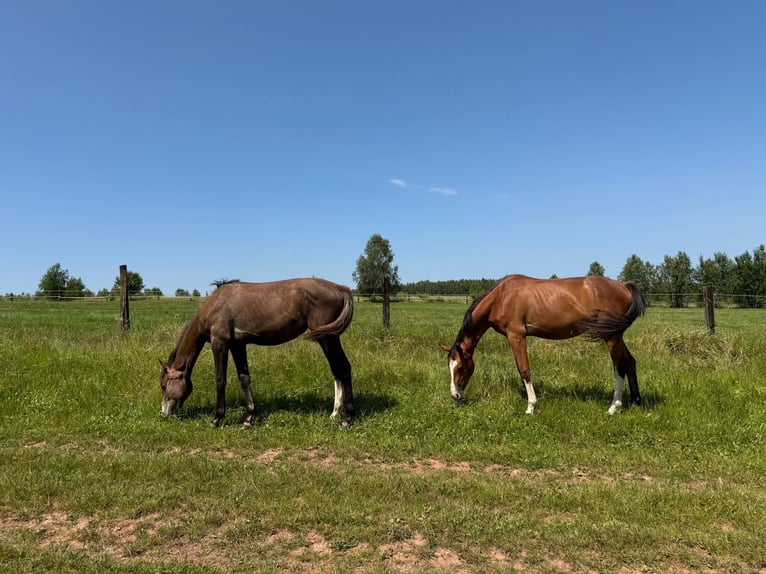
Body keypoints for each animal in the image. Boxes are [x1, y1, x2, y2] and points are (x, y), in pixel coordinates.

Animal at [159, 278, 355, 428]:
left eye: (163, 386)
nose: (164, 414)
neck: (215, 304)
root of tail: (339, 288)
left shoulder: (219, 343)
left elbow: (220, 380)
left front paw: (217, 419)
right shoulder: (237, 345)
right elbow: (244, 378)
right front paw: (248, 418)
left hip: (327, 338)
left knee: (343, 368)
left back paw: (347, 418)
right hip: (327, 338)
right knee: (337, 370)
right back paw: (335, 413)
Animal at [440, 274, 645, 415]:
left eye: (460, 368)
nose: (455, 396)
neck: (501, 297)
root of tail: (623, 286)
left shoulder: (516, 335)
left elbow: (524, 369)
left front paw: (531, 406)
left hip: (612, 337)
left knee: (619, 367)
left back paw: (613, 407)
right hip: (616, 336)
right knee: (630, 362)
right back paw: (636, 401)